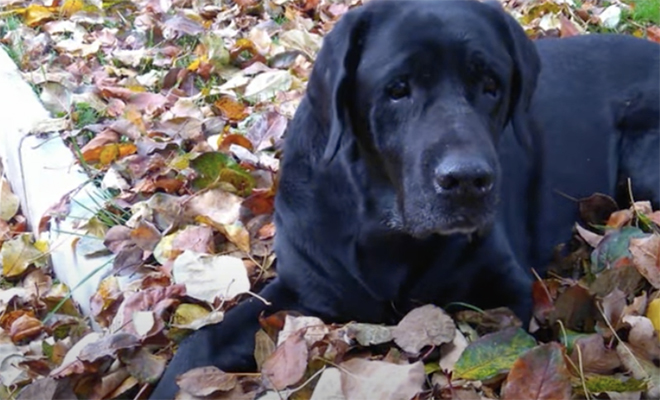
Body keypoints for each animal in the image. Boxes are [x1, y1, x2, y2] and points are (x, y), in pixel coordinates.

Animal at [151, 1, 660, 398]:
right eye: (397, 89)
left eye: (491, 86)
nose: (468, 180)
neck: (385, 231)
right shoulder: (306, 284)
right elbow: (203, 342)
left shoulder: (508, 289)